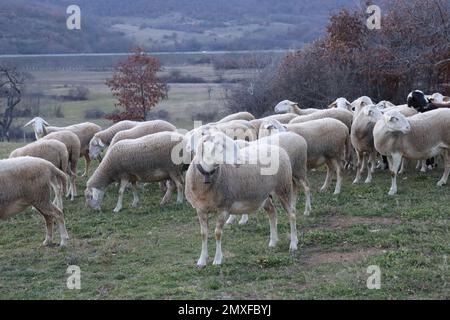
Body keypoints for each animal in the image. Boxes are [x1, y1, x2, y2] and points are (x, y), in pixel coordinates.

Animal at [186, 131, 298, 266]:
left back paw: (293, 244)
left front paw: (217, 259)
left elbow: (217, 233)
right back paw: (273, 242)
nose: (240, 161)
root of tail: (279, 149)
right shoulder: (200, 209)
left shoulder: (224, 208)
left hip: (284, 188)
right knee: (272, 212)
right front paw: (202, 260)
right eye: (220, 144)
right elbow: (203, 234)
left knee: (292, 214)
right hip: (264, 195)